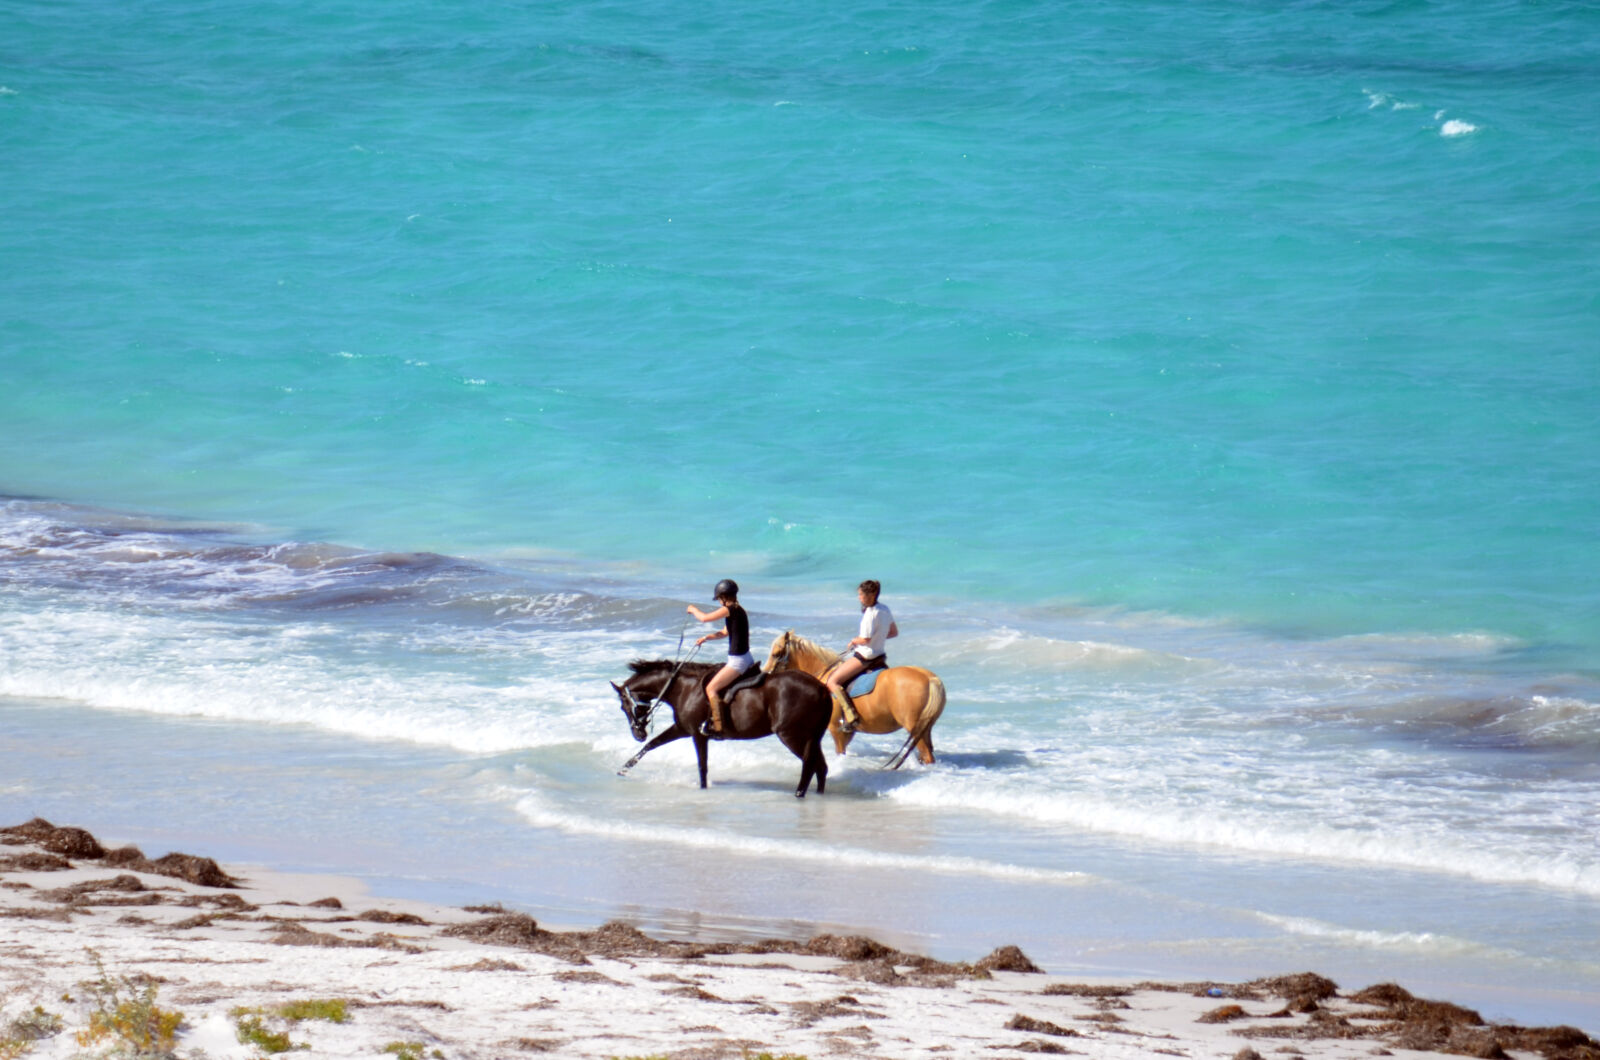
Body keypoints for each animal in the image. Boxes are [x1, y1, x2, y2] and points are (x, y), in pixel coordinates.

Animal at [611, 660, 832, 798]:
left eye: (623, 706)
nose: (637, 733)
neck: (683, 688)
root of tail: (821, 688)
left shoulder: (697, 735)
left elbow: (702, 766)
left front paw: (702, 788)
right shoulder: (682, 728)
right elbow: (651, 745)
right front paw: (624, 769)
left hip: (792, 736)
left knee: (810, 765)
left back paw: (799, 793)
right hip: (811, 737)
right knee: (820, 766)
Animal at [761, 630, 946, 769]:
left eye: (776, 654)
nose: (765, 675)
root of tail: (930, 678)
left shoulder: (836, 730)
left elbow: (840, 752)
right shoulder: (847, 732)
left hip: (914, 727)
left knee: (927, 756)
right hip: (925, 728)